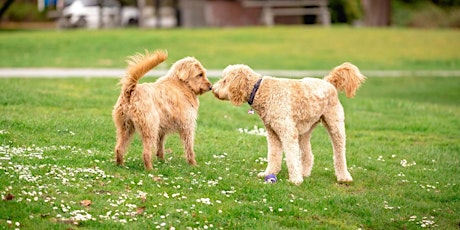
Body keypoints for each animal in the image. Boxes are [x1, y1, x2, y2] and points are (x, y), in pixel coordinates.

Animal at [212, 62, 366, 185]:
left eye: (225, 80)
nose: (213, 89)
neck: (261, 90)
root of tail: (328, 82)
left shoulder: (287, 132)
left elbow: (291, 156)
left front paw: (295, 180)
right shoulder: (273, 133)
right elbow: (273, 155)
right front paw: (269, 173)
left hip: (335, 124)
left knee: (339, 153)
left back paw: (344, 177)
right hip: (305, 130)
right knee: (308, 154)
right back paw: (304, 173)